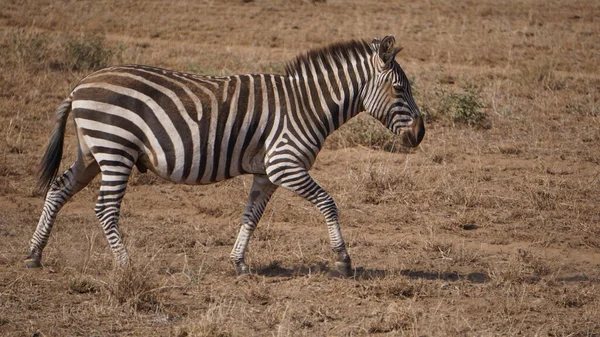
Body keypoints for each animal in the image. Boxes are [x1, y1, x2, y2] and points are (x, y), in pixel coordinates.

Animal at [25, 34, 424, 276]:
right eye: (399, 89)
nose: (420, 134)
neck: (306, 106)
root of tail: (80, 85)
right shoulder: (285, 164)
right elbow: (328, 203)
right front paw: (343, 260)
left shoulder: (267, 173)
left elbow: (251, 216)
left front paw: (239, 262)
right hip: (115, 148)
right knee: (105, 208)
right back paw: (126, 264)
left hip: (93, 152)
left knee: (58, 189)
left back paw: (33, 255)